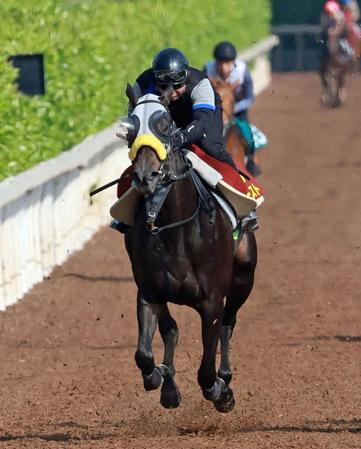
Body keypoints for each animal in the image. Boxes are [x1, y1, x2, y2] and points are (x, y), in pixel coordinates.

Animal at [120, 82, 256, 412]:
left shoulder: (211, 302)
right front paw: (158, 376)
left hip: (244, 276)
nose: (145, 176)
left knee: (228, 325)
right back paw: (169, 385)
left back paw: (225, 380)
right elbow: (144, 354)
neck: (176, 230)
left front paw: (220, 390)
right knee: (171, 329)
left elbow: (206, 368)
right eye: (131, 128)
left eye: (166, 124)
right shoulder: (149, 292)